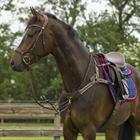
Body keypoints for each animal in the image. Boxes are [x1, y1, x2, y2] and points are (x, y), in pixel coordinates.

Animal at [10, 8, 140, 139]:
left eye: (30, 34)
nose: (14, 62)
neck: (80, 81)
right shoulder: (68, 130)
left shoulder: (89, 130)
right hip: (113, 127)